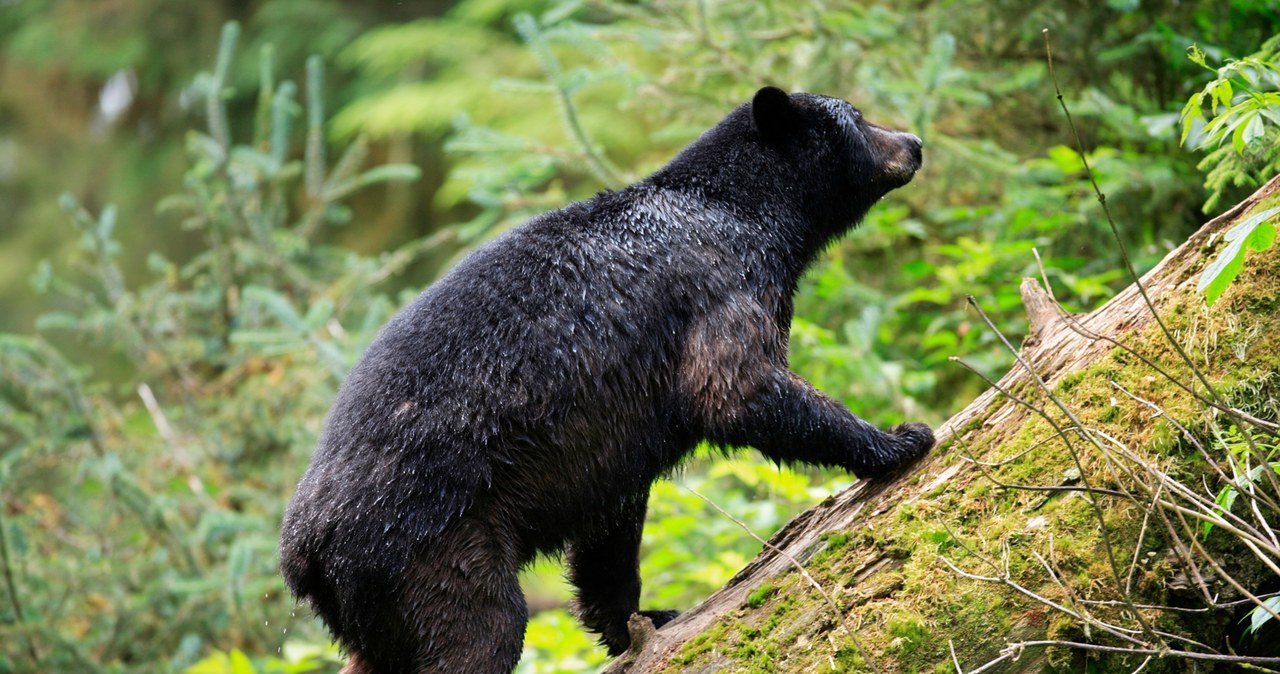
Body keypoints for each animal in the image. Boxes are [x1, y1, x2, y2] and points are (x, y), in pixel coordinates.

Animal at [282, 86, 931, 670]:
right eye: (858, 115)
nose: (915, 141)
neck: (738, 209)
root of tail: (303, 551)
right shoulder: (716, 281)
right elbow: (736, 388)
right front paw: (897, 439)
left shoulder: (612, 453)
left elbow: (609, 538)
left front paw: (639, 622)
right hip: (431, 546)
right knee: (480, 632)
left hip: (379, 605)